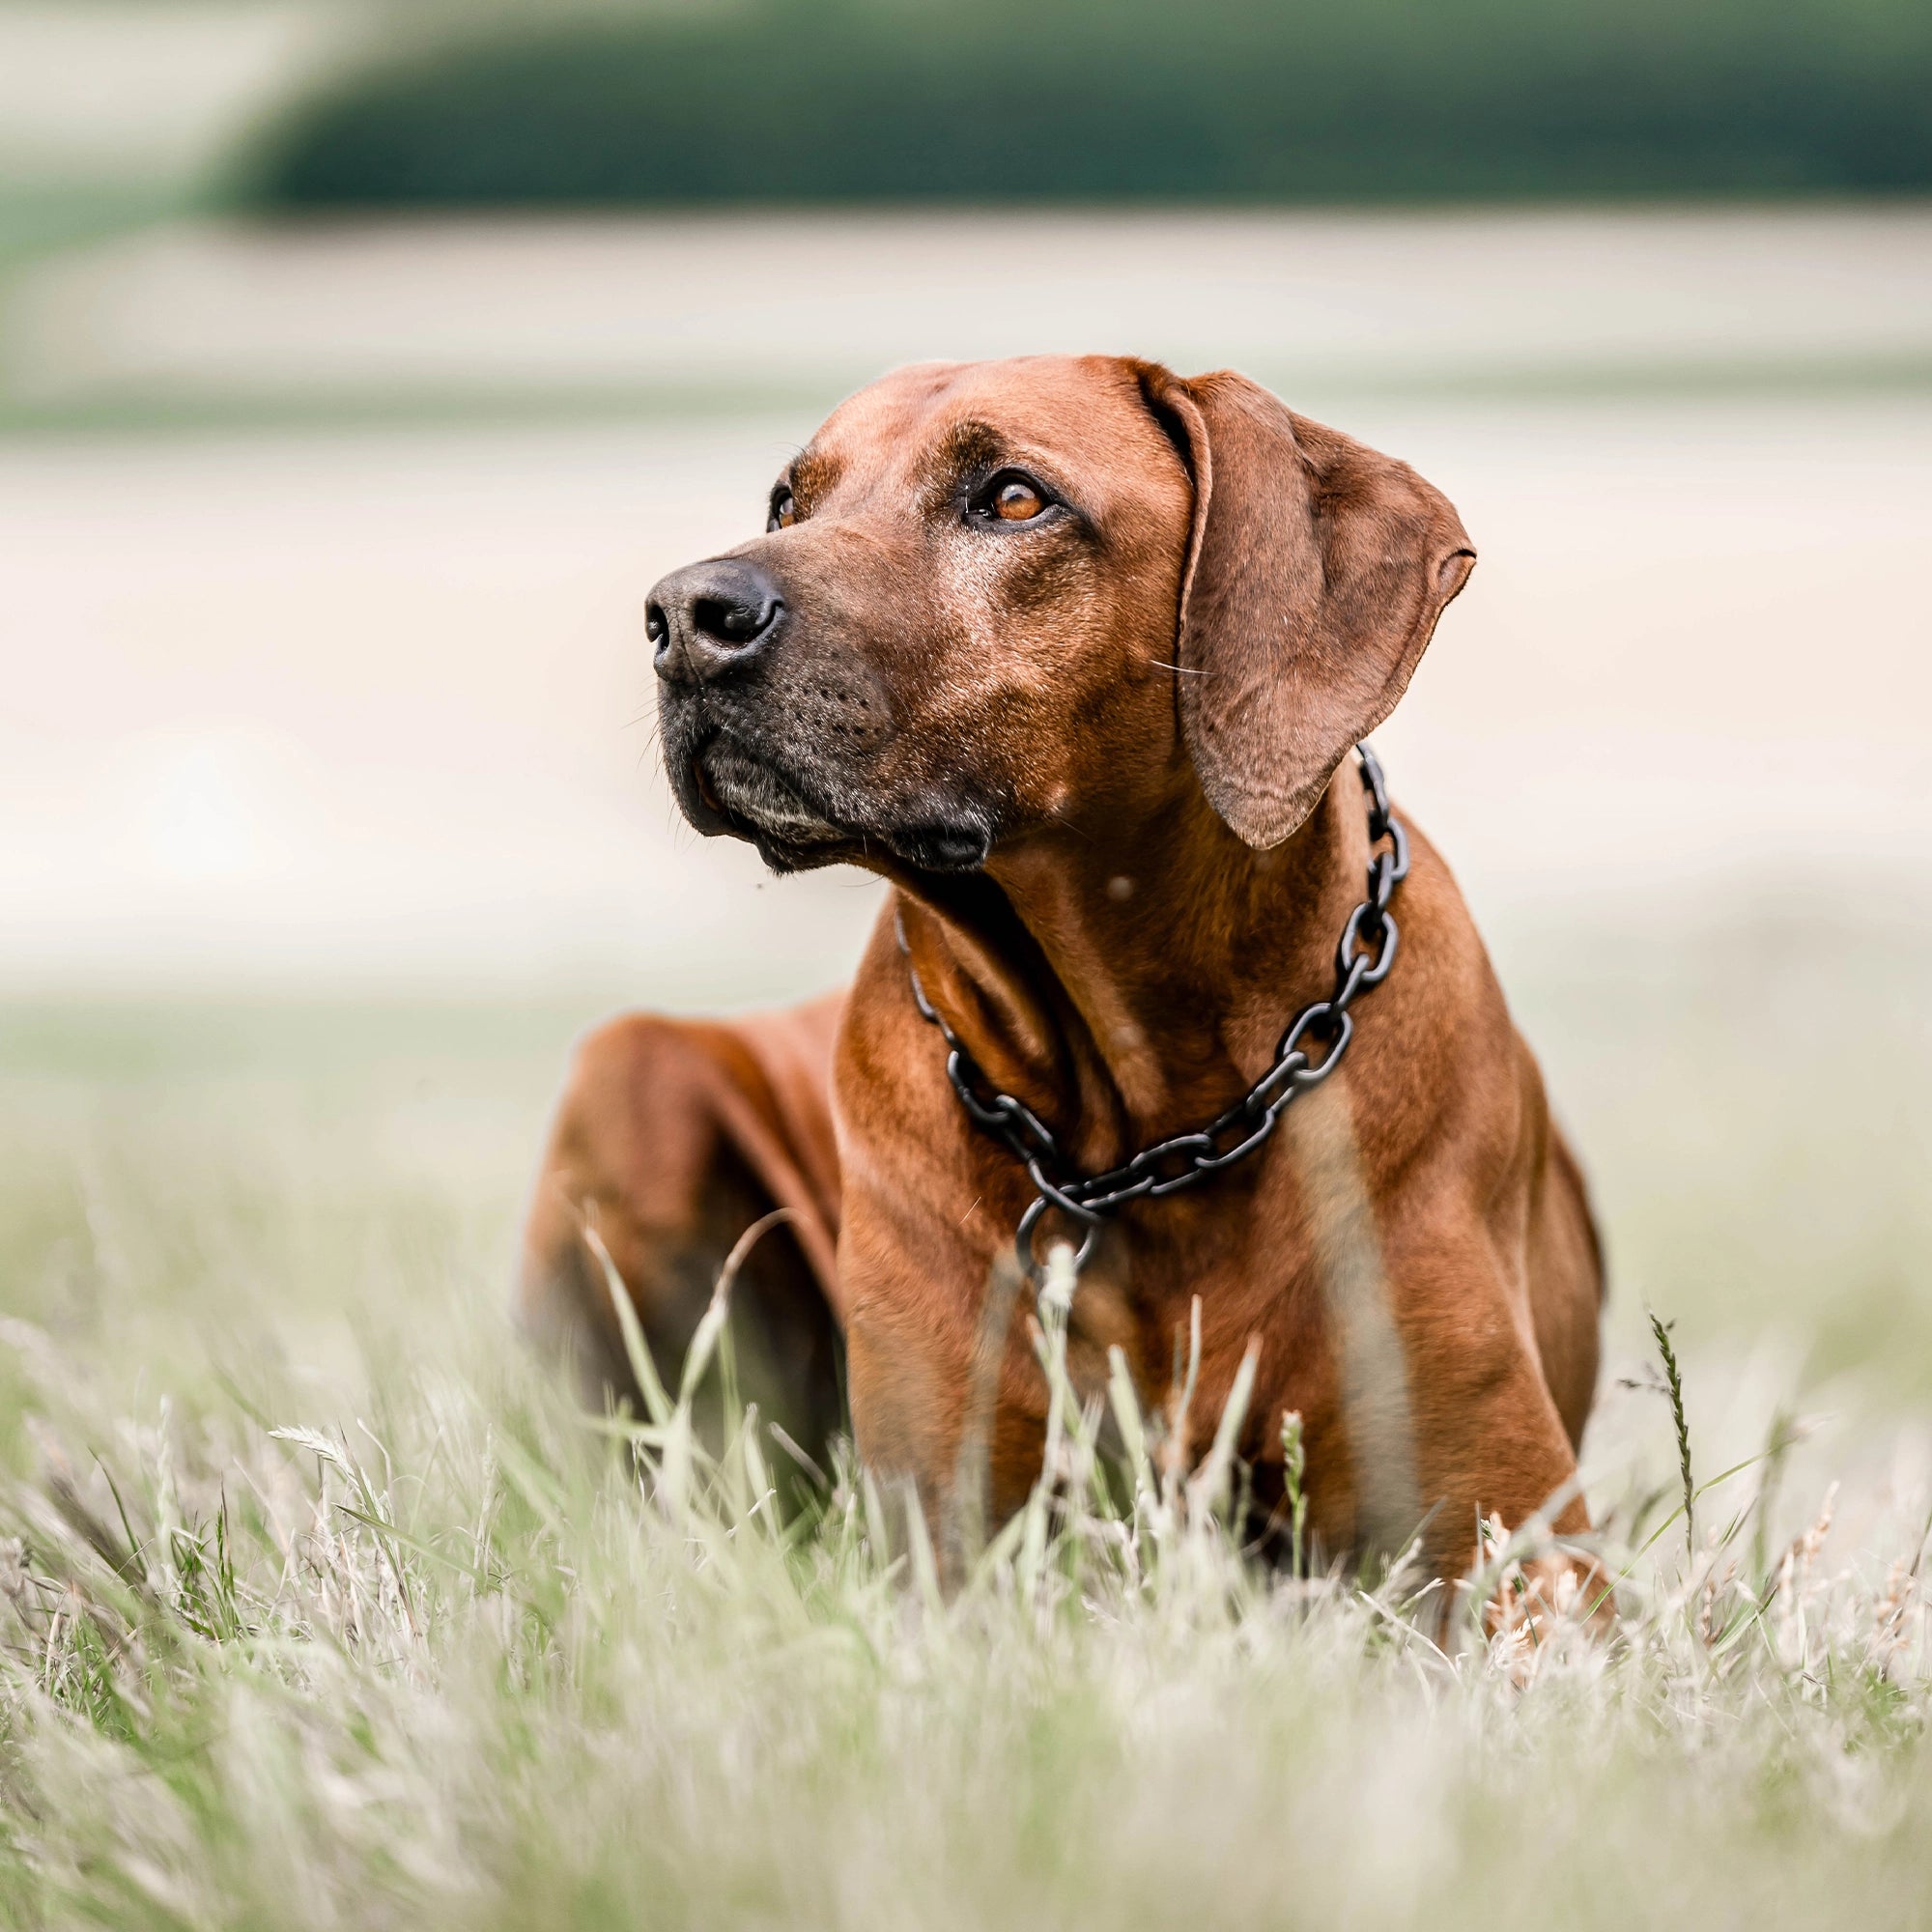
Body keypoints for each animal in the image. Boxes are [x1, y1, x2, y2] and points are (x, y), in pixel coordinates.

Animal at [522, 355, 1607, 1592]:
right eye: (787, 502)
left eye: (1011, 497)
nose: (681, 618)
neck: (1146, 1127)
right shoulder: (949, 1541)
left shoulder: (1518, 1549)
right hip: (633, 1069)